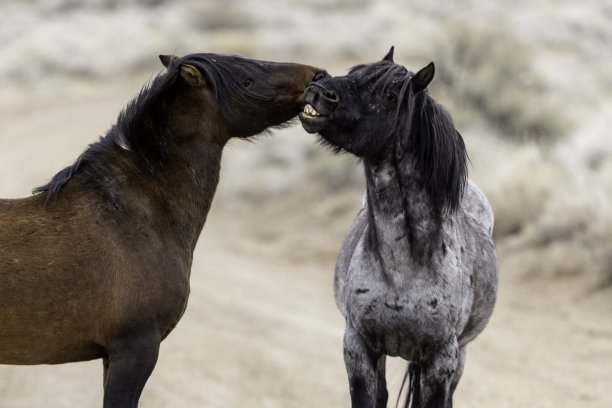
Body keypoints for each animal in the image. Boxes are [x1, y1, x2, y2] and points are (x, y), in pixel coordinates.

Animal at [300, 47, 498, 404]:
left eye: (391, 95)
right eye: (355, 73)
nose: (318, 91)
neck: (403, 267)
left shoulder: (440, 359)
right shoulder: (358, 347)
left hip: (459, 357)